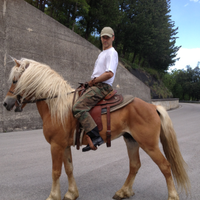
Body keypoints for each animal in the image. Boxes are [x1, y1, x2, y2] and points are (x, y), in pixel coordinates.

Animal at [3, 58, 191, 200]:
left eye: (15, 80)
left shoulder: (56, 145)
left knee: (165, 166)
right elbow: (69, 168)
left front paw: (53, 196)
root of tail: (153, 107)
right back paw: (123, 191)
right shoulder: (64, 145)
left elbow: (56, 171)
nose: (6, 103)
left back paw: (172, 196)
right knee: (135, 165)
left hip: (149, 144)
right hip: (131, 140)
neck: (56, 105)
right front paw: (71, 194)